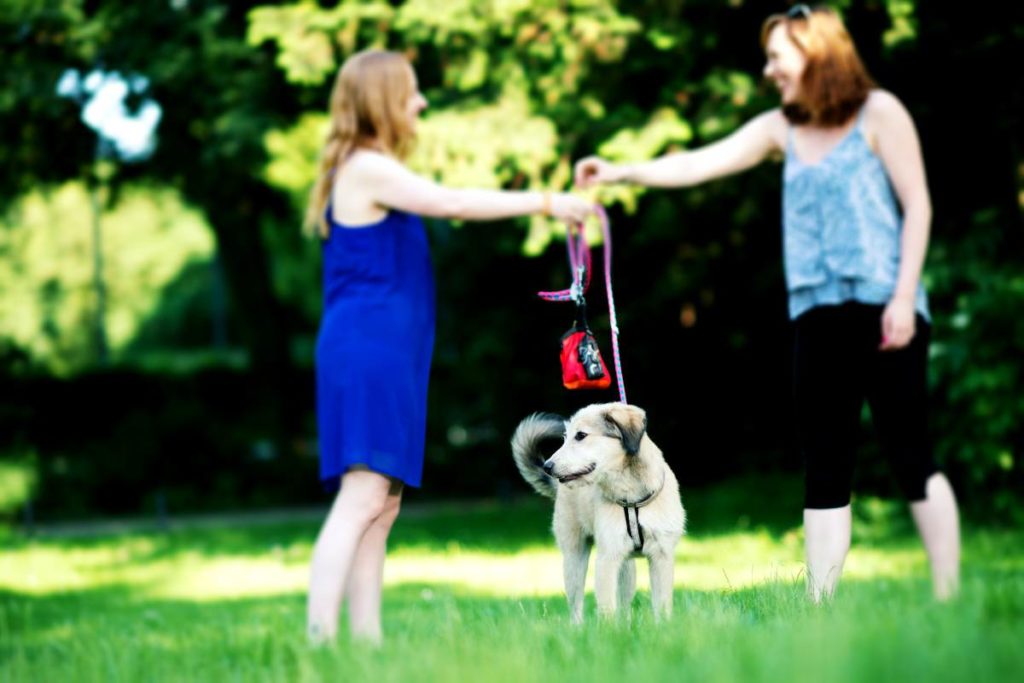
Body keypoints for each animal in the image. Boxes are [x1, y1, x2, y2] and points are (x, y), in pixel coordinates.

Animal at [512, 405, 688, 626]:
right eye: (565, 437)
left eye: (580, 435)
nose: (548, 467)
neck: (631, 495)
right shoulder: (607, 557)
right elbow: (607, 609)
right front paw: (610, 633)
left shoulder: (661, 556)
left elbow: (662, 606)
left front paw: (662, 629)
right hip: (574, 560)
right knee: (576, 606)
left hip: (627, 568)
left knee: (624, 605)